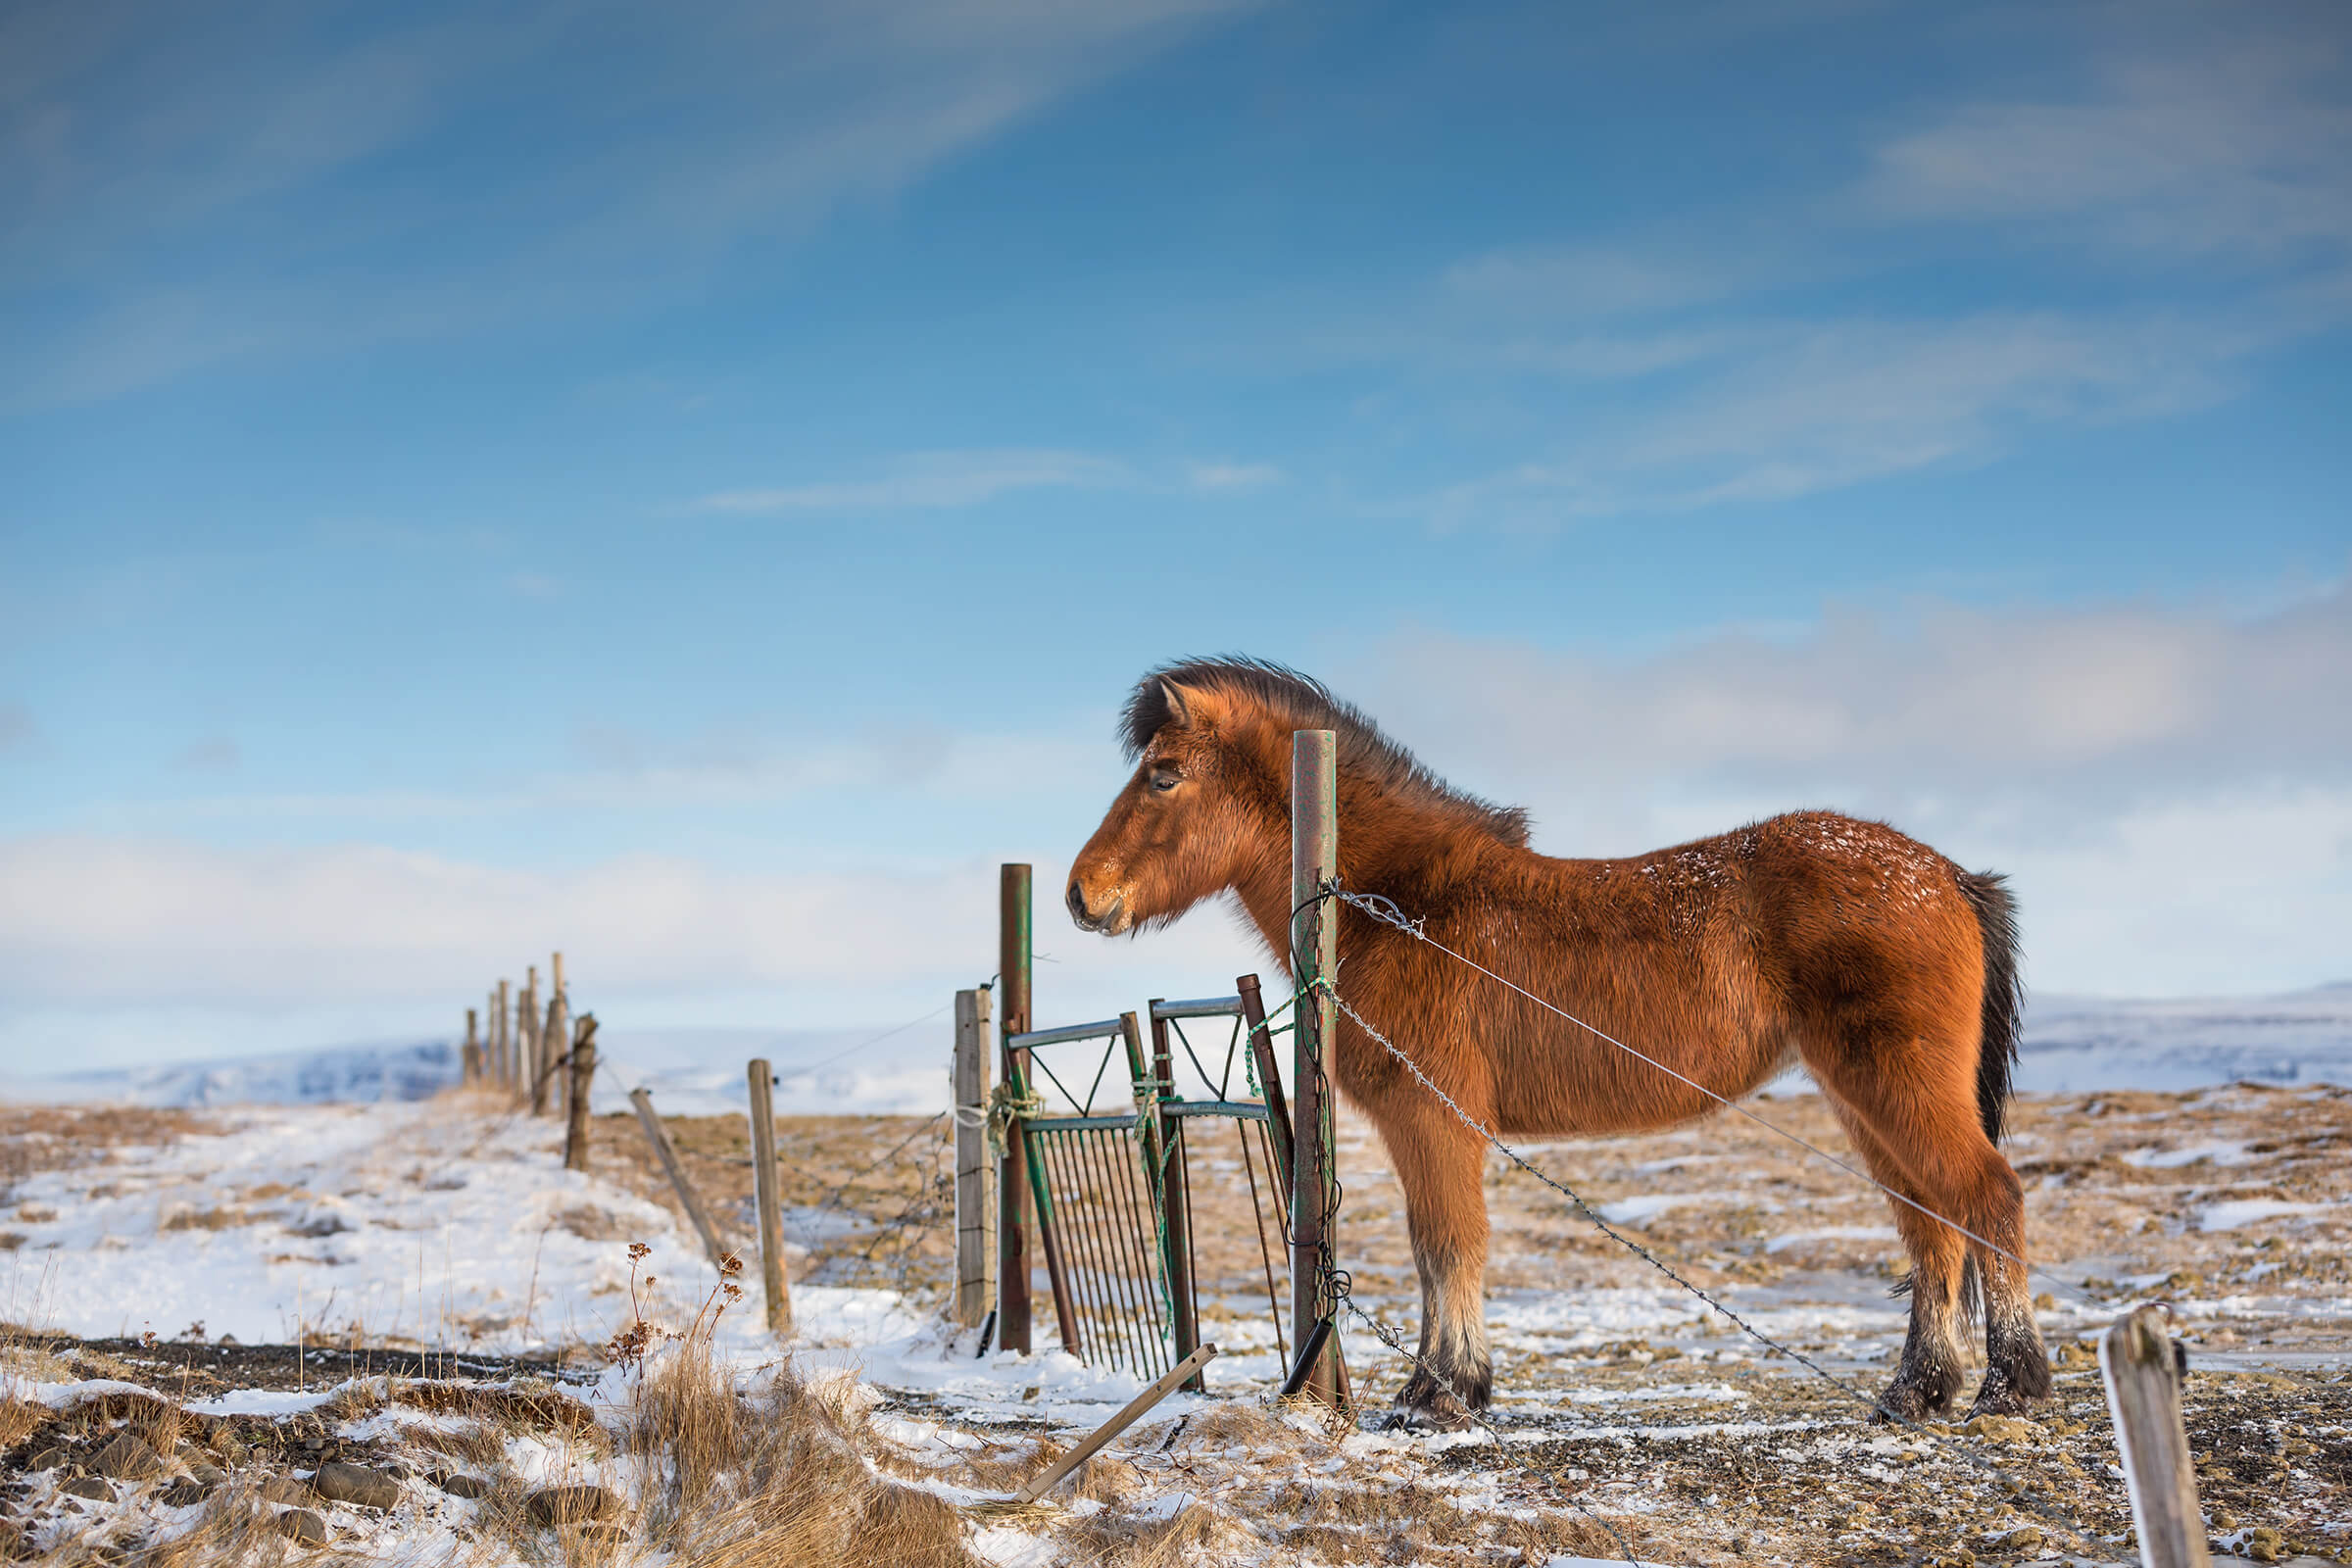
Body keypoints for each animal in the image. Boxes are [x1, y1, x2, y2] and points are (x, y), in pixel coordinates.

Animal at [1064, 656, 2051, 1430]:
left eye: (1163, 775)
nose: (1081, 894)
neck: (1403, 903)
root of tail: (1948, 876)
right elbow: (1441, 1246)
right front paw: (1449, 1386)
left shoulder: (1433, 1119)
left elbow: (1447, 1241)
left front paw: (1440, 1392)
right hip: (1865, 1100)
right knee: (1931, 1227)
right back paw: (1918, 1392)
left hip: (1895, 1087)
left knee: (1986, 1199)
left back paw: (2011, 1386)